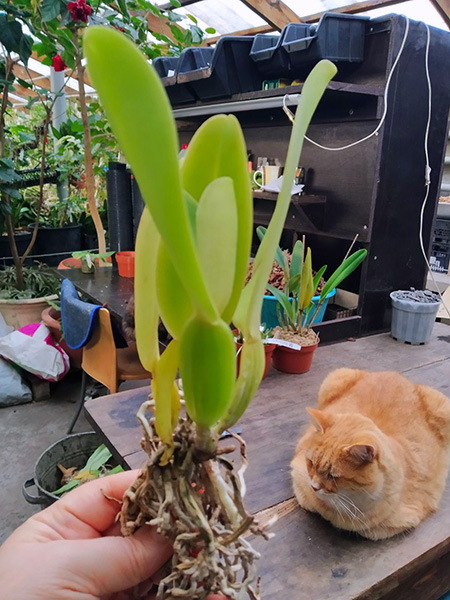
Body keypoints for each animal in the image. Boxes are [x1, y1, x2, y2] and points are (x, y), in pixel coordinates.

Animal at [292, 368, 450, 540]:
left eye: (332, 476)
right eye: (311, 464)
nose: (314, 487)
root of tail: (394, 373)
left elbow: (369, 530)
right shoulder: (298, 473)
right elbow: (306, 499)